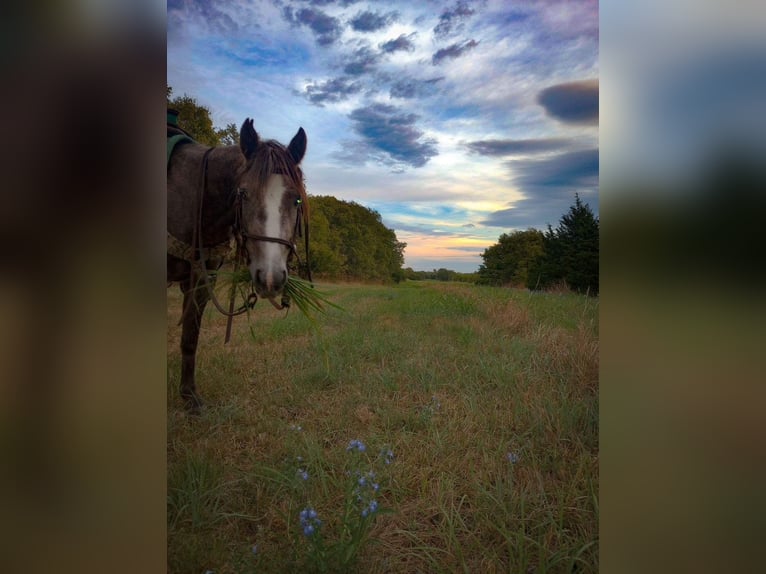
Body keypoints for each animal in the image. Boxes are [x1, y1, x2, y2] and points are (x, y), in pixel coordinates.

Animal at [167, 116, 309, 413]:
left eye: (296, 199)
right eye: (243, 194)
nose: (270, 278)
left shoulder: (201, 278)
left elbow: (190, 336)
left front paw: (190, 396)